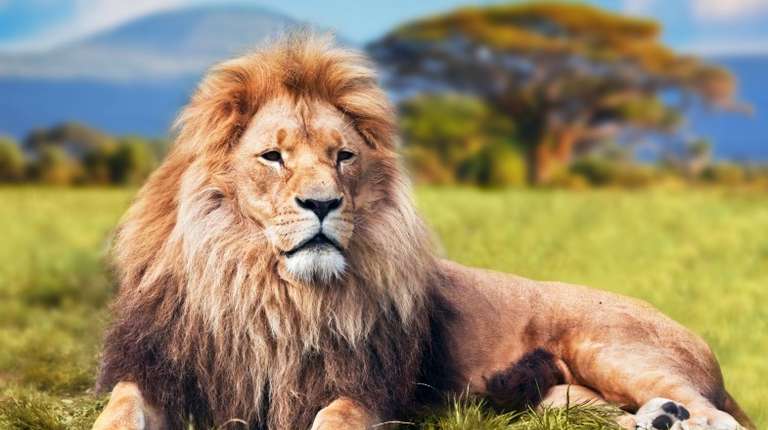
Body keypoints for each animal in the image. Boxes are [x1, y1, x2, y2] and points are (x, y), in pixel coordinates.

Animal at [92, 35, 754, 430]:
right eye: (273, 157)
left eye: (343, 156)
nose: (323, 203)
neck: (269, 292)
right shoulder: (159, 372)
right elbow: (119, 411)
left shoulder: (365, 389)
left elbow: (331, 419)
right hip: (559, 404)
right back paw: (658, 419)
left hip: (612, 347)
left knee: (715, 418)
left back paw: (673, 415)